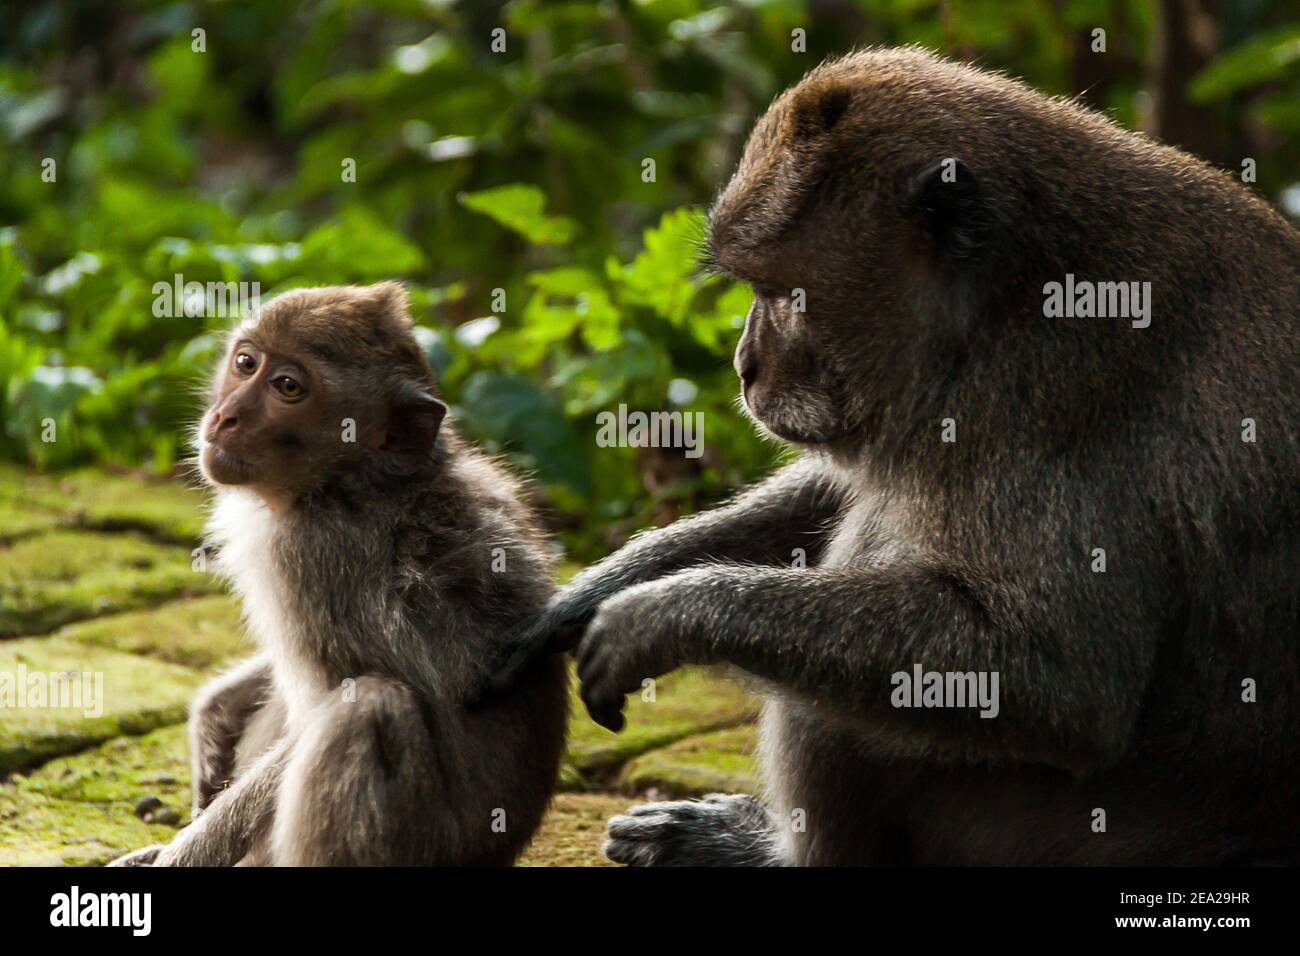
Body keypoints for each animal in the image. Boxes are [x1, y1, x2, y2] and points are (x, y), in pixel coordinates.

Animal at [110, 282, 568, 866]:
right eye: (245, 363)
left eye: (288, 387)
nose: (226, 416)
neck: (343, 482)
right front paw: (215, 711)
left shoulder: (307, 558)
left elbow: (318, 715)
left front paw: (180, 857)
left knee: (367, 707)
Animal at [485, 48, 1300, 865]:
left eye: (784, 294)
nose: (745, 366)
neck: (1000, 299)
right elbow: (844, 482)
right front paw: (600, 587)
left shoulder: (1053, 396)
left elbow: (1060, 680)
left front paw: (663, 614)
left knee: (835, 705)